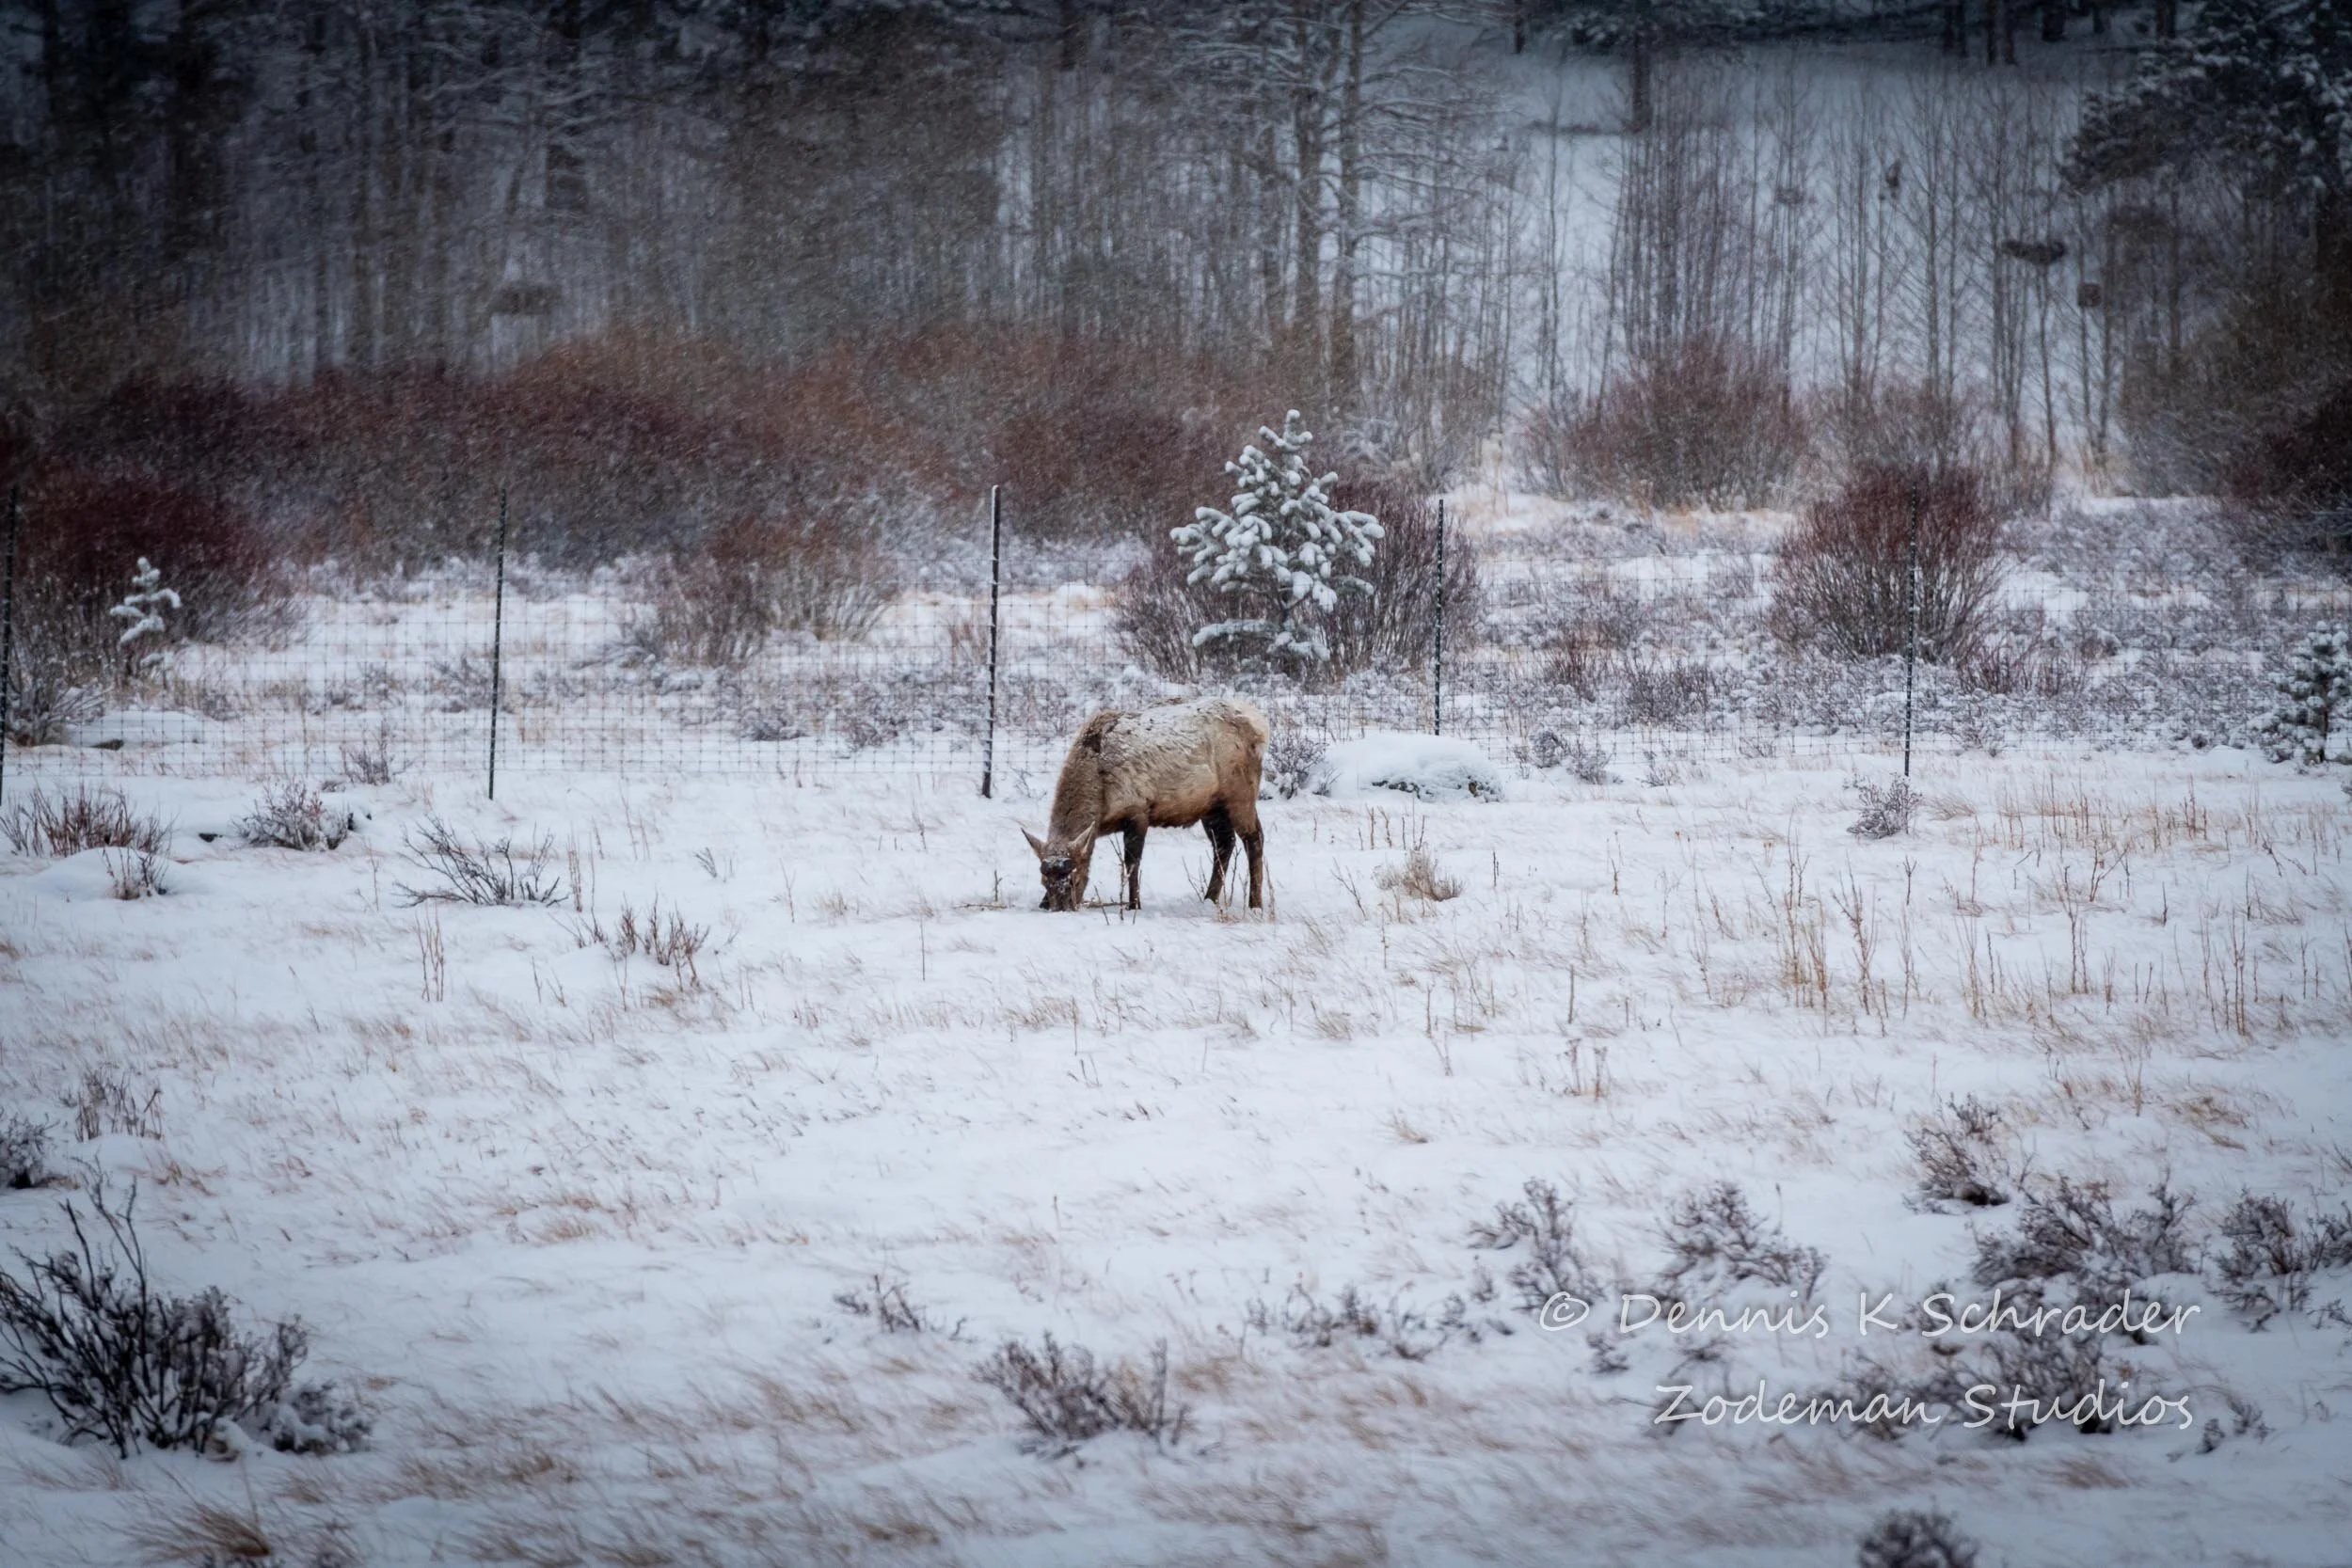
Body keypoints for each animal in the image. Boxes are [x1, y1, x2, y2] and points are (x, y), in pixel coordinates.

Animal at [1022, 696, 1269, 913]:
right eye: (1044, 881)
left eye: (1074, 879)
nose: (1060, 909)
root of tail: (1260, 727)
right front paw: (1042, 903)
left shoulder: (1137, 810)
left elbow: (1132, 863)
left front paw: (1133, 905)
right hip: (1210, 806)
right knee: (1224, 844)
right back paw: (1210, 898)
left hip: (1240, 793)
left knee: (1254, 838)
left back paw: (1255, 904)